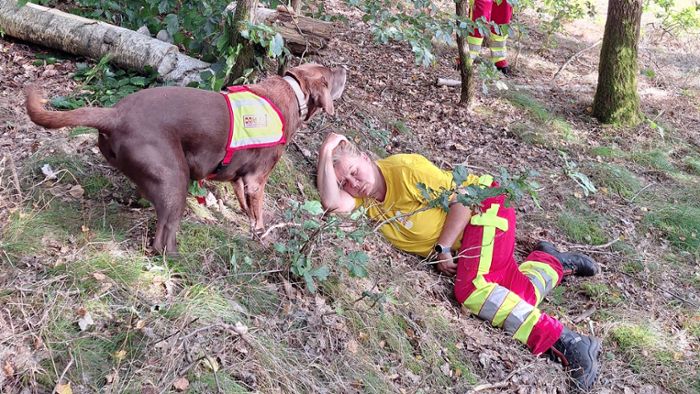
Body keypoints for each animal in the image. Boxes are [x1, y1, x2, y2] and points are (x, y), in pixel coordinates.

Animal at [27, 63, 348, 255]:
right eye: (331, 75)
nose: (344, 68)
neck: (294, 94)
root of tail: (114, 114)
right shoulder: (257, 180)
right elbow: (258, 215)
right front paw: (262, 236)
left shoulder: (239, 180)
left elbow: (244, 206)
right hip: (175, 180)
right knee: (162, 239)